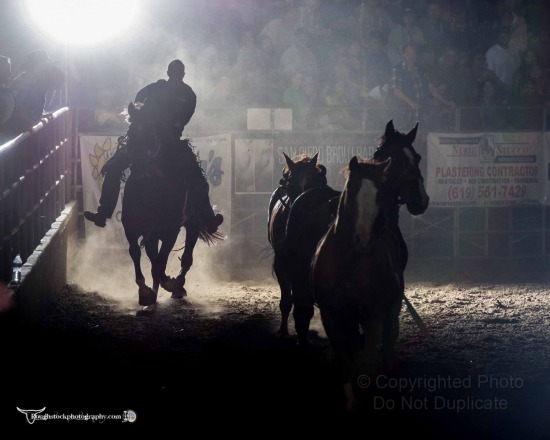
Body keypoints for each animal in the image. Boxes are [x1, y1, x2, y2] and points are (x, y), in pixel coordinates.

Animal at [122, 100, 223, 306]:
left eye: (150, 132)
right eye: (130, 131)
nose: (138, 160)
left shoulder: (170, 231)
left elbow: (160, 262)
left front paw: (168, 283)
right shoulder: (133, 229)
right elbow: (137, 254)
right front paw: (145, 292)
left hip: (193, 224)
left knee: (186, 259)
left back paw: (177, 287)